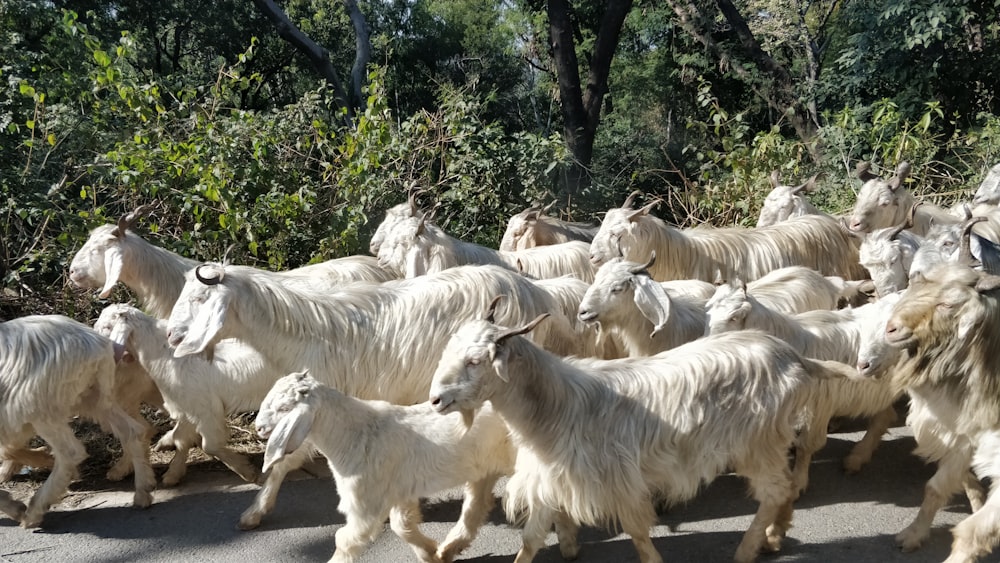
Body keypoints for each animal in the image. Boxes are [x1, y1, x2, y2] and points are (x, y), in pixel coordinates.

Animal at [0, 316, 154, 528]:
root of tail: (95, 344)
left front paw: (14, 506)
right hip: (94, 396)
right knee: (133, 431)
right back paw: (142, 492)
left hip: (44, 408)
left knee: (71, 453)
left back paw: (35, 510)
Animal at [166, 262, 580, 532]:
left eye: (200, 297)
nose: (171, 335)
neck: (304, 332)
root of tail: (536, 289)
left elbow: (285, 461)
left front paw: (254, 511)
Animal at [426, 318, 856, 563]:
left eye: (476, 361)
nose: (436, 399)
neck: (556, 406)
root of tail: (793, 357)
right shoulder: (551, 480)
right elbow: (531, 540)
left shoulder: (617, 478)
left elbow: (635, 529)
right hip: (768, 442)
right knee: (784, 487)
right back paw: (775, 535)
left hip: (756, 443)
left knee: (774, 490)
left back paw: (747, 550)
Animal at [704, 284, 908, 492]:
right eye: (709, 313)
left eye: (734, 317)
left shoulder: (818, 406)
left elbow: (805, 446)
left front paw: (797, 483)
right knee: (884, 417)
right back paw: (857, 458)